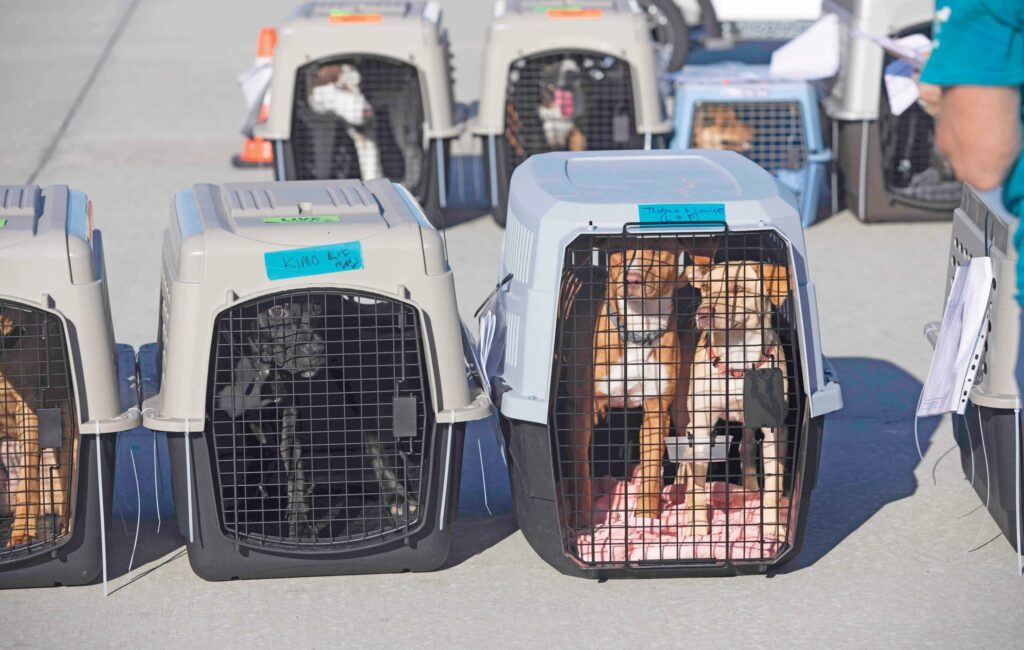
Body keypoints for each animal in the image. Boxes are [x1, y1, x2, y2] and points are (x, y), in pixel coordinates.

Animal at [207, 290, 432, 548]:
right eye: (276, 310)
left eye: (315, 307)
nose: (316, 349)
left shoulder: (290, 415)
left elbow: (296, 474)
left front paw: (300, 528)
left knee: (371, 437)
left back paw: (396, 495)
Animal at [294, 56, 425, 189]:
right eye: (341, 87)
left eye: (361, 85)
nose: (369, 113)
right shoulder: (322, 126)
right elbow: (322, 167)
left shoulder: (365, 129)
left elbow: (370, 172)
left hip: (400, 120)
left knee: (413, 151)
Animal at [679, 258, 790, 540]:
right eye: (706, 287)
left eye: (738, 289)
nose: (703, 312)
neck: (737, 356)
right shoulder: (701, 425)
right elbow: (696, 485)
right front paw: (697, 526)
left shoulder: (775, 431)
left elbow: (773, 484)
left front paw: (772, 527)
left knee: (746, 449)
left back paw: (750, 490)